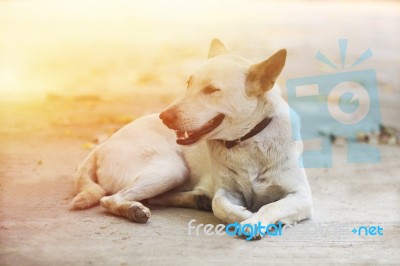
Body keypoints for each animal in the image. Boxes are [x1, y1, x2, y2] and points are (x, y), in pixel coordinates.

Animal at [71, 39, 312, 237]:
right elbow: (219, 203)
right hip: (171, 169)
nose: (165, 117)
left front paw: (255, 221)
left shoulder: (302, 196)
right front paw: (244, 216)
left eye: (211, 89)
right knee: (110, 199)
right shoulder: (227, 191)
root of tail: (101, 146)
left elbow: (271, 205)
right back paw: (134, 209)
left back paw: (194, 199)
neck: (247, 140)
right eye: (188, 84)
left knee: (152, 198)